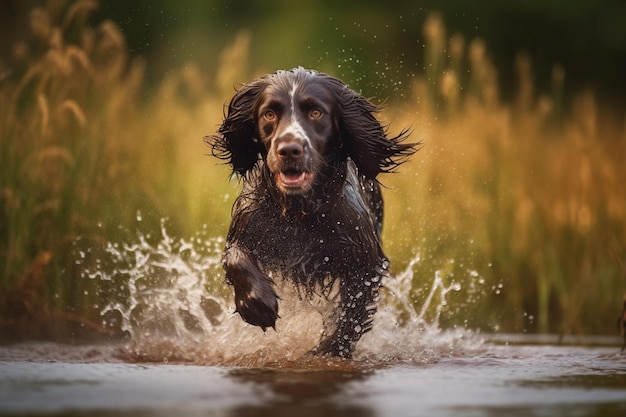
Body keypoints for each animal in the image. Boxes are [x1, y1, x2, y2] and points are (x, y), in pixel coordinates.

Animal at [205, 68, 416, 358]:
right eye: (269, 114)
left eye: (316, 113)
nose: (289, 149)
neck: (299, 213)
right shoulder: (246, 227)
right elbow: (236, 257)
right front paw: (257, 305)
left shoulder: (365, 262)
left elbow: (352, 314)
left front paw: (329, 349)